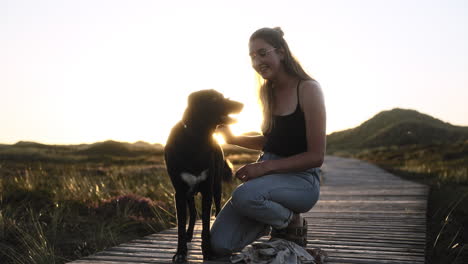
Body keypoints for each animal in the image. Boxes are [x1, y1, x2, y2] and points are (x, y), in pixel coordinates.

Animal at [165, 89, 243, 262]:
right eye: (214, 99)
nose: (241, 104)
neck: (197, 139)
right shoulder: (179, 193)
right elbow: (181, 226)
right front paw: (181, 252)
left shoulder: (207, 190)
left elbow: (206, 223)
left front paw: (207, 250)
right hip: (189, 193)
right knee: (193, 213)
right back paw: (188, 235)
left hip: (217, 186)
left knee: (217, 208)